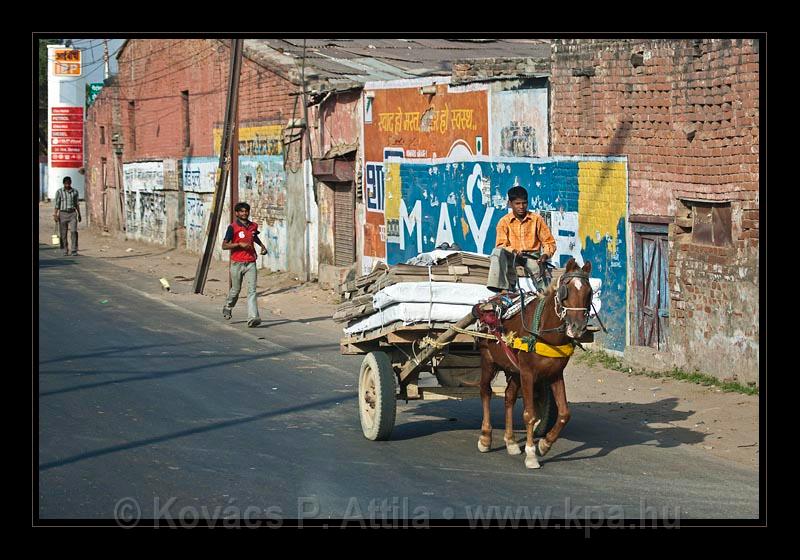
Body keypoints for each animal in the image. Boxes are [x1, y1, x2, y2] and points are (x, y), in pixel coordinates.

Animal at [476, 258, 592, 468]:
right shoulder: (528, 374)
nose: (577, 327)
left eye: (589, 292)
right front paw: (531, 454)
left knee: (509, 397)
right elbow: (529, 414)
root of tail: (489, 303)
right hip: (488, 359)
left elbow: (564, 413)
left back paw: (511, 441)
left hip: (514, 369)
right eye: (566, 291)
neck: (545, 331)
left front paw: (545, 445)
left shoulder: (554, 374)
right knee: (485, 391)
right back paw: (486, 437)